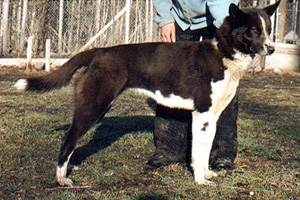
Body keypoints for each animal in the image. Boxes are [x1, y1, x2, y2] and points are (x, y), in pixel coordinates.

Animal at [14, 1, 280, 186]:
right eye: (253, 30)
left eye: (268, 29)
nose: (272, 49)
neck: (223, 53)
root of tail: (99, 51)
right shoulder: (201, 115)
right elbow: (198, 151)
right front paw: (200, 181)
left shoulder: (211, 117)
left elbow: (205, 151)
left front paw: (206, 173)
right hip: (93, 106)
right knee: (68, 138)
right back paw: (61, 178)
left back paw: (71, 168)